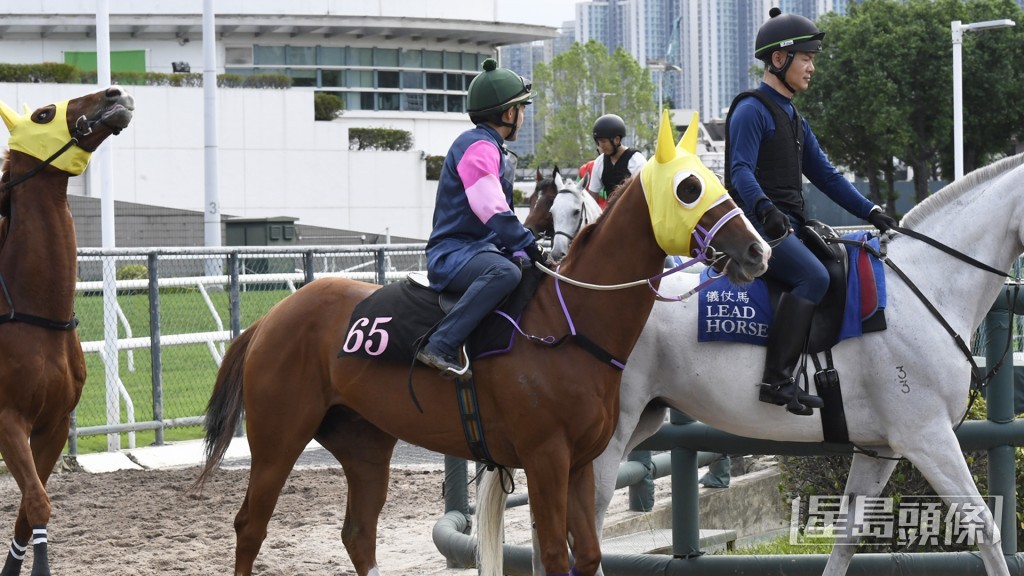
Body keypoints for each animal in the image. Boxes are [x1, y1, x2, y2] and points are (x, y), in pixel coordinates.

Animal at [0, 86, 134, 576]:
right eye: (43, 114)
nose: (116, 93)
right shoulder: (8, 420)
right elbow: (37, 503)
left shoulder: (53, 424)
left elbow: (28, 506)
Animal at [194, 111, 770, 576]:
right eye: (688, 188)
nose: (758, 250)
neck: (567, 323)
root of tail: (270, 320)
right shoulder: (546, 457)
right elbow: (554, 555)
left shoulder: (581, 461)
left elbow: (586, 554)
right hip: (279, 438)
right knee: (250, 526)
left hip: (365, 444)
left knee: (358, 534)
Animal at [487, 152, 1024, 576]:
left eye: (575, 209)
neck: (925, 287)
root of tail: (565, 294)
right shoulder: (927, 437)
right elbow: (984, 527)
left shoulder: (882, 448)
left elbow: (847, 538)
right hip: (605, 439)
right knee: (584, 530)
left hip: (637, 421)